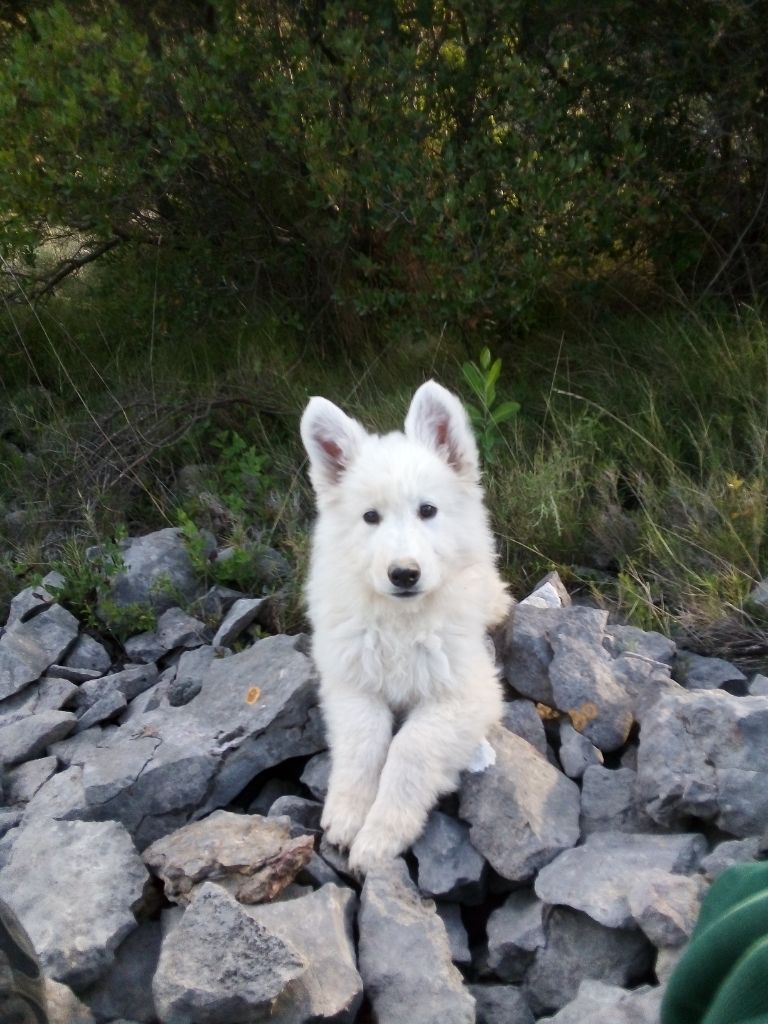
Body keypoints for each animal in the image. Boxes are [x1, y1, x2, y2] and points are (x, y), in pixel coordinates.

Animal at [301, 380, 512, 876]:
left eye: (427, 510)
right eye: (370, 517)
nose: (404, 574)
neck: (402, 621)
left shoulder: (466, 692)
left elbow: (409, 749)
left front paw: (380, 836)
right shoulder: (351, 683)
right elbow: (364, 741)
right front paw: (347, 815)